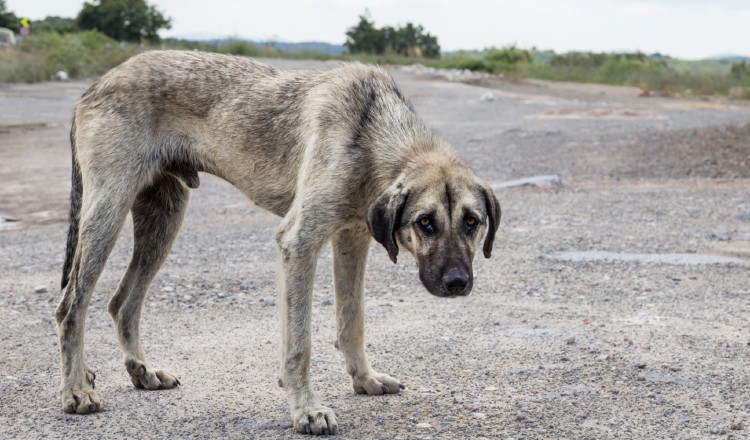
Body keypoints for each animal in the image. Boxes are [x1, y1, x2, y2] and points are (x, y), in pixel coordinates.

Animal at [55, 49, 502, 434]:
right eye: (425, 223)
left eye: (472, 222)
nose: (457, 284)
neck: (372, 132)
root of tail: (96, 84)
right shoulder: (299, 244)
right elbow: (300, 343)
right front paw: (306, 409)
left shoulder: (352, 239)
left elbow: (352, 321)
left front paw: (364, 379)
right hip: (107, 215)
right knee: (70, 306)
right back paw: (76, 389)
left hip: (162, 220)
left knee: (122, 303)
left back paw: (142, 371)